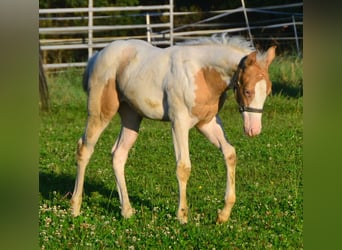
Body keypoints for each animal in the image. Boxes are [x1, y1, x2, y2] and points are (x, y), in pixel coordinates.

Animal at [71, 34, 276, 224]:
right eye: (248, 90)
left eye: (268, 92)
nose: (253, 130)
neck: (202, 73)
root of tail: (96, 56)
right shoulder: (179, 122)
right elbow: (183, 167)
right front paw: (182, 215)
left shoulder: (207, 123)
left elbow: (230, 154)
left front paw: (223, 214)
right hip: (100, 112)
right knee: (85, 149)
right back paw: (75, 207)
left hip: (131, 117)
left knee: (118, 155)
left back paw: (127, 211)